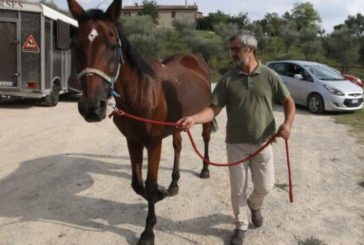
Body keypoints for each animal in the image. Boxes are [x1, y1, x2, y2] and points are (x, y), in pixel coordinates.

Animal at [67, 0, 216, 244]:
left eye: (112, 45)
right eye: (74, 45)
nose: (91, 107)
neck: (139, 93)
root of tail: (195, 61)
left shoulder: (153, 143)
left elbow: (150, 184)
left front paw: (148, 230)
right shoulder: (133, 141)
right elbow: (138, 185)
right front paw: (162, 193)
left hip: (205, 118)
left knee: (205, 139)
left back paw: (204, 170)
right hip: (178, 124)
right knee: (178, 146)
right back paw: (174, 184)